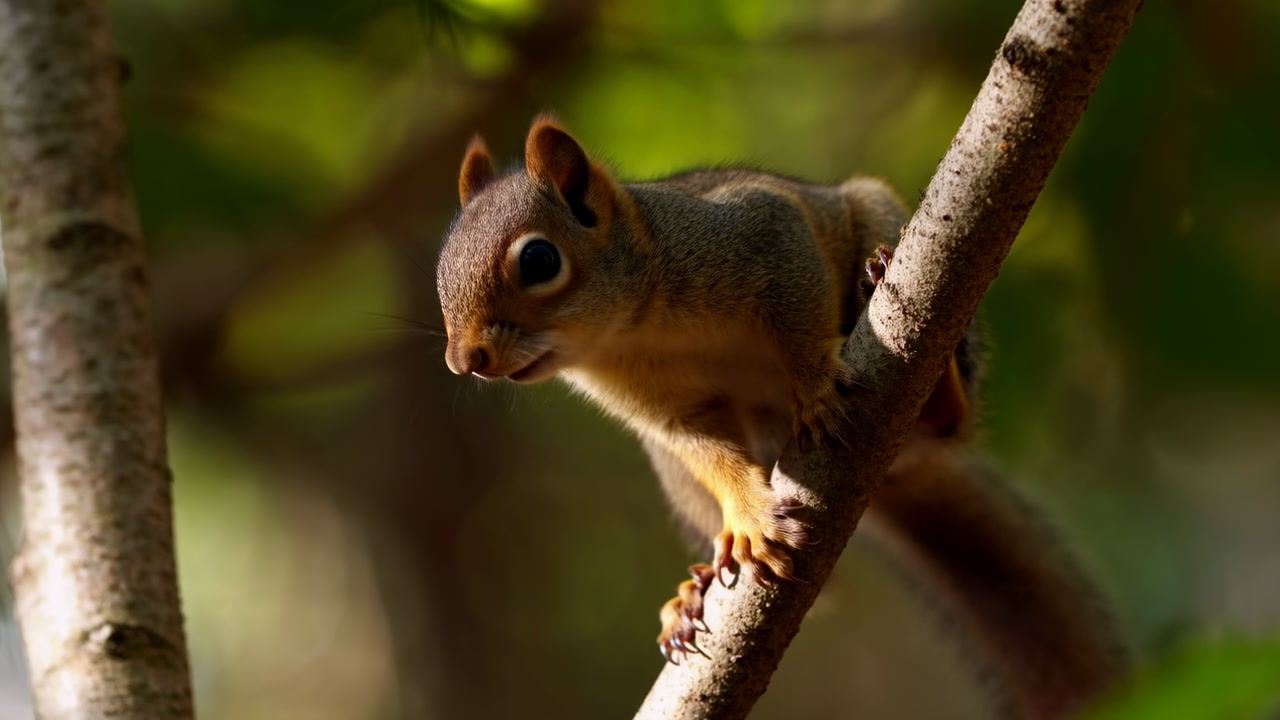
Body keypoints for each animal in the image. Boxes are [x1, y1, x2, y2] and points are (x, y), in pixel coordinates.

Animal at [435, 116, 1130, 719]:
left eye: (539, 261)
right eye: (439, 272)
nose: (464, 361)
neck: (627, 335)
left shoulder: (755, 235)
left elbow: (797, 318)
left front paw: (815, 389)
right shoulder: (669, 417)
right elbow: (709, 453)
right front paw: (748, 519)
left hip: (890, 239)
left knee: (951, 418)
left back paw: (913, 346)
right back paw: (695, 589)